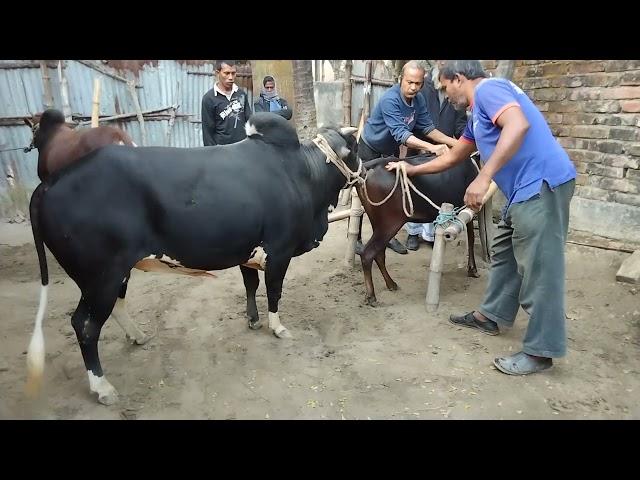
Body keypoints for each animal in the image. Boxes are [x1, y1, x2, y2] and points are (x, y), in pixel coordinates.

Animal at [25, 113, 360, 404]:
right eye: (356, 149)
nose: (364, 171)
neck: (303, 173)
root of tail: (49, 184)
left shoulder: (248, 250)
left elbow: (251, 286)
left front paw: (252, 320)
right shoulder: (280, 252)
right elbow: (274, 292)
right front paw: (277, 328)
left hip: (115, 273)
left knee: (114, 307)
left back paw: (138, 336)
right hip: (100, 277)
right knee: (85, 325)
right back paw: (102, 387)